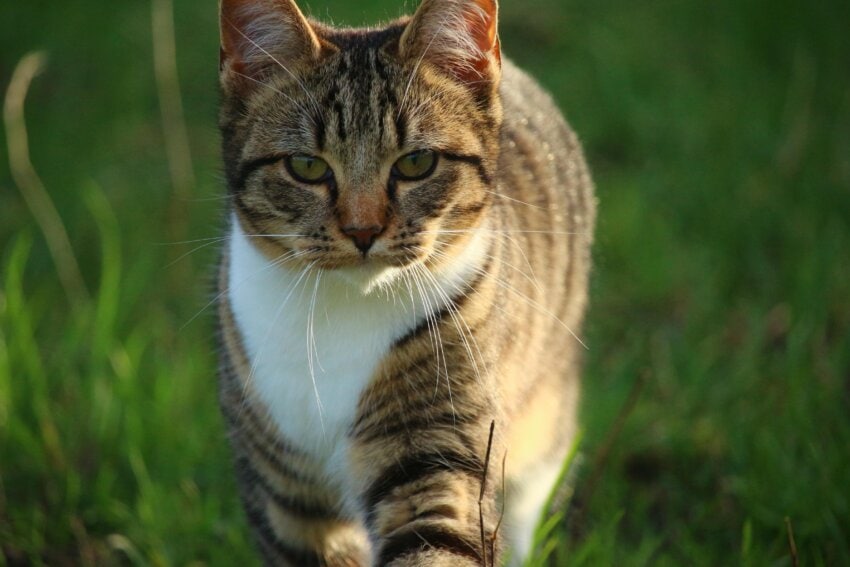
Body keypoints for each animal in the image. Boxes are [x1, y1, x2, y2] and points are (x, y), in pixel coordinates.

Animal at [215, 0, 592, 564]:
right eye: (306, 166)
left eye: (417, 162)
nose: (363, 230)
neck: (344, 310)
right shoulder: (282, 485)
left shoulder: (438, 437)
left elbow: (439, 531)